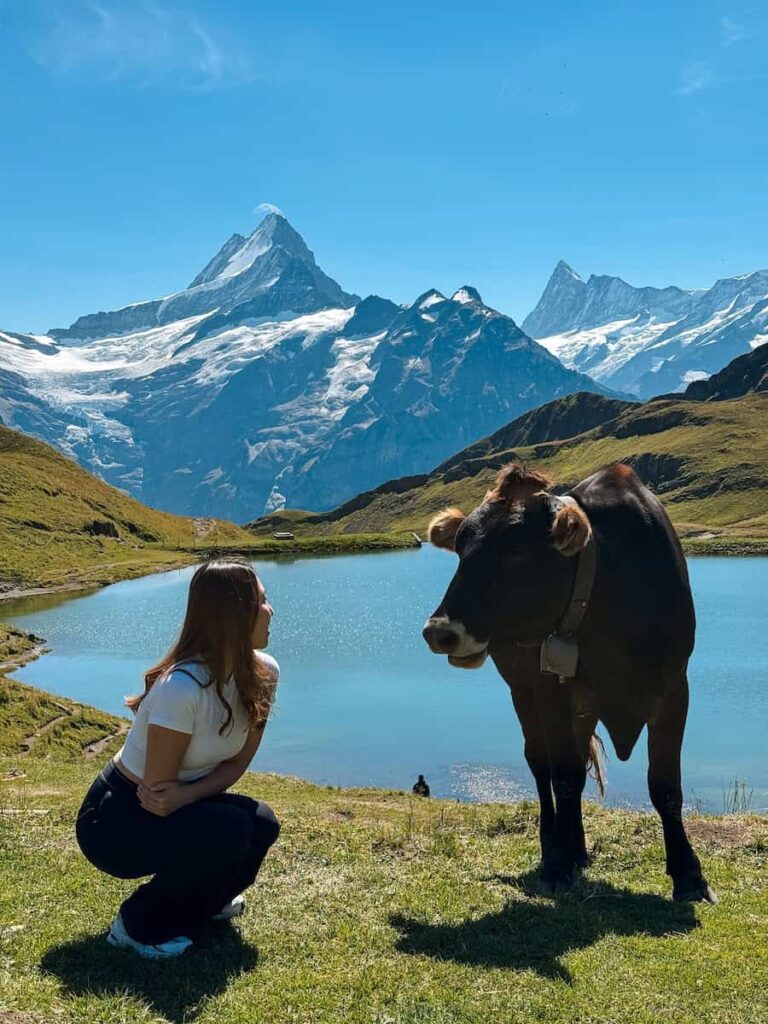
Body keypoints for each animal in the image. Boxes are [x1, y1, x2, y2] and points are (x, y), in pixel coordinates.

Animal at [422, 461, 716, 903]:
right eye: (460, 549)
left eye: (516, 551)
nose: (439, 632)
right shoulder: (550, 690)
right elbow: (562, 775)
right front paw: (557, 866)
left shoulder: (675, 689)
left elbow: (665, 785)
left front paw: (688, 874)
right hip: (523, 690)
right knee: (542, 763)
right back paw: (556, 846)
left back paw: (576, 848)